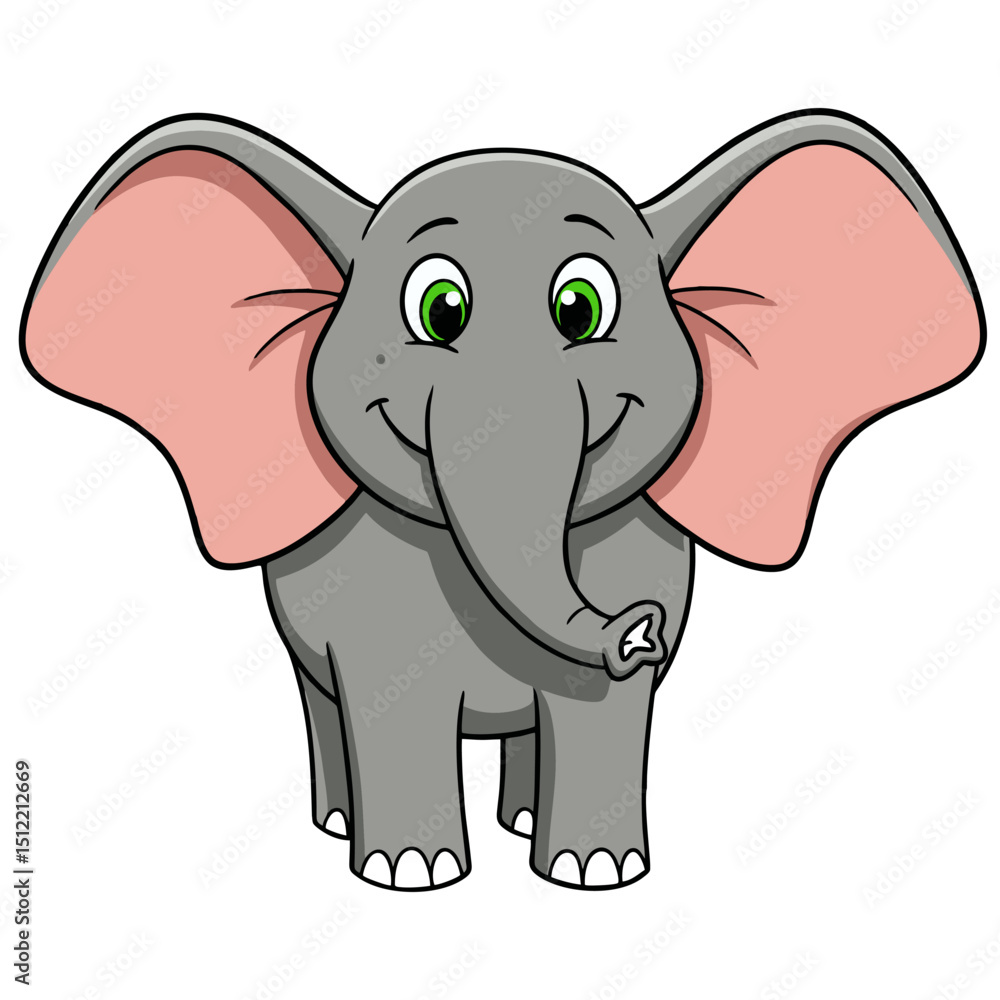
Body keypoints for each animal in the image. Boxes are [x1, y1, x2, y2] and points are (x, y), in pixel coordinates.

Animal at [21, 110, 985, 891]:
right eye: (440, 309)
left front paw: (596, 875)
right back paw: (338, 822)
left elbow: (602, 713)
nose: (637, 632)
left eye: (582, 308)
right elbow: (389, 697)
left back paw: (519, 820)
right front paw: (412, 874)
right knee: (319, 698)